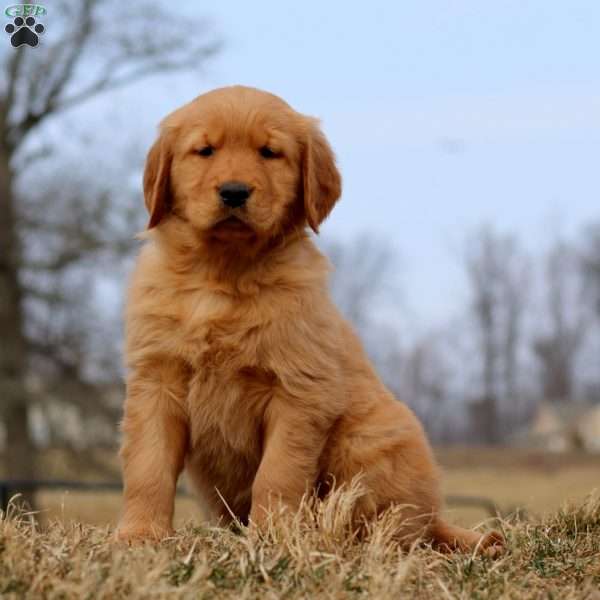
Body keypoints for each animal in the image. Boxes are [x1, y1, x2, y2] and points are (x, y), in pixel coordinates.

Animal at [116, 85, 502, 552]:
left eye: (269, 152)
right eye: (204, 150)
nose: (234, 192)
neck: (223, 275)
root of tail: (434, 519)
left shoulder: (298, 391)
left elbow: (278, 474)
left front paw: (273, 535)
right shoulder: (156, 381)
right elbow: (148, 467)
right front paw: (140, 533)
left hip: (371, 438)